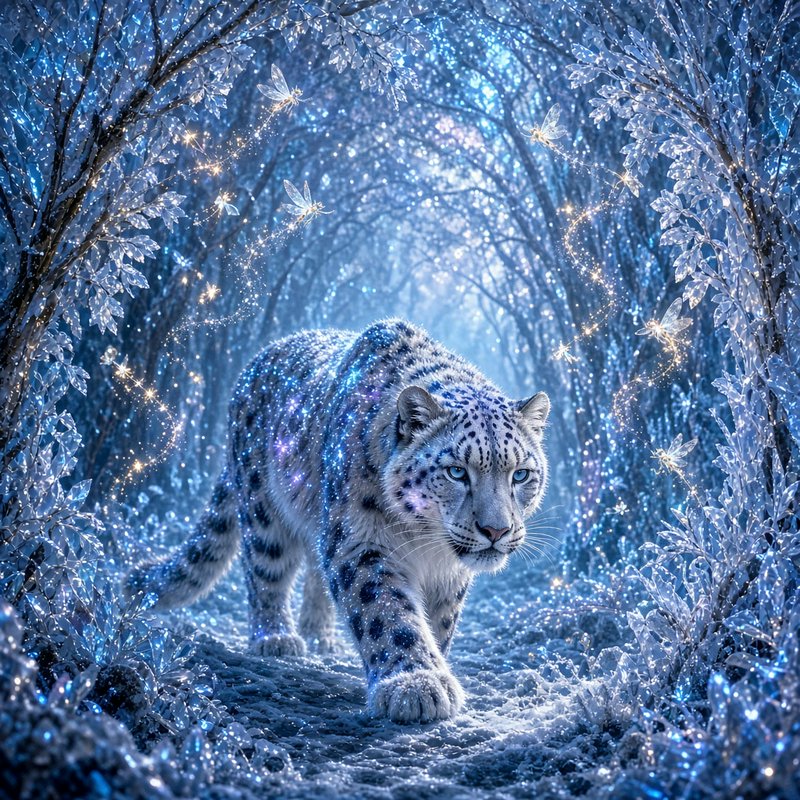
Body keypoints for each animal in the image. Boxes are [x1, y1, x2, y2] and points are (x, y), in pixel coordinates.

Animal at [125, 319, 550, 723]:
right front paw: (416, 684)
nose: (496, 530)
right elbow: (387, 611)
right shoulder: (360, 541)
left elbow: (440, 621)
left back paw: (319, 634)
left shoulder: (449, 573)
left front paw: (433, 665)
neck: (426, 542)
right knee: (265, 572)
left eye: (520, 475)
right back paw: (277, 638)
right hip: (263, 509)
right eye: (457, 471)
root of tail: (253, 365)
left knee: (314, 572)